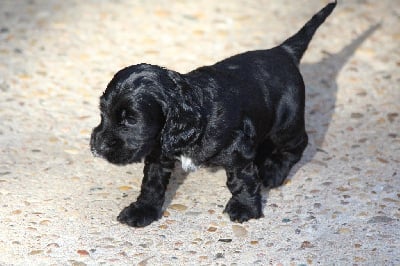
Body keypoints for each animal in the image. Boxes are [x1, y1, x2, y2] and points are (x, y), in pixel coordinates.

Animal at [89, 1, 336, 227]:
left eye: (131, 120)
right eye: (103, 113)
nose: (96, 147)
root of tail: (283, 51)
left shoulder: (238, 148)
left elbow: (243, 180)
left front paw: (244, 207)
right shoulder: (158, 151)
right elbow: (152, 182)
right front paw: (142, 210)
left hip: (287, 122)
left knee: (298, 143)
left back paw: (273, 170)